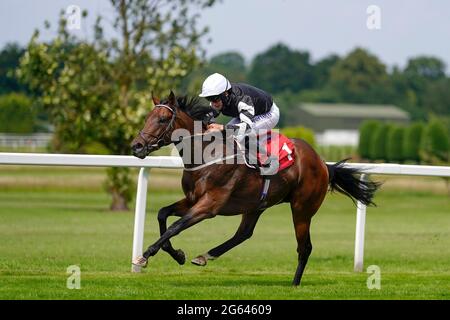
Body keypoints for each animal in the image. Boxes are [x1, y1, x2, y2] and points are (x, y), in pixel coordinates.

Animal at [130, 91, 380, 286]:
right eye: (147, 117)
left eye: (163, 119)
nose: (137, 146)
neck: (206, 154)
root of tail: (322, 163)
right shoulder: (192, 199)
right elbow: (163, 214)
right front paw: (177, 254)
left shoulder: (209, 205)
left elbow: (175, 226)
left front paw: (144, 256)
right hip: (256, 205)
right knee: (244, 233)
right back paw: (205, 256)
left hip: (302, 209)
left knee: (305, 247)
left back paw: (295, 283)